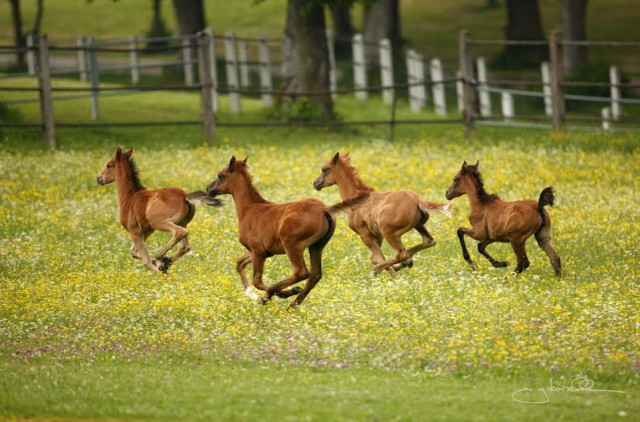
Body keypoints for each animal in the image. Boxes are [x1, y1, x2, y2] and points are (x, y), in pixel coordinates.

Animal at [205, 155, 370, 306]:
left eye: (220, 175)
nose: (208, 189)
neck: (250, 209)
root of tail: (324, 210)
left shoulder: (258, 251)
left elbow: (257, 280)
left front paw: (267, 296)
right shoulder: (263, 252)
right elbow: (239, 263)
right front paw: (253, 294)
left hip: (292, 245)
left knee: (301, 272)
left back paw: (280, 295)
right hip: (316, 246)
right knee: (315, 275)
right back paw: (293, 305)